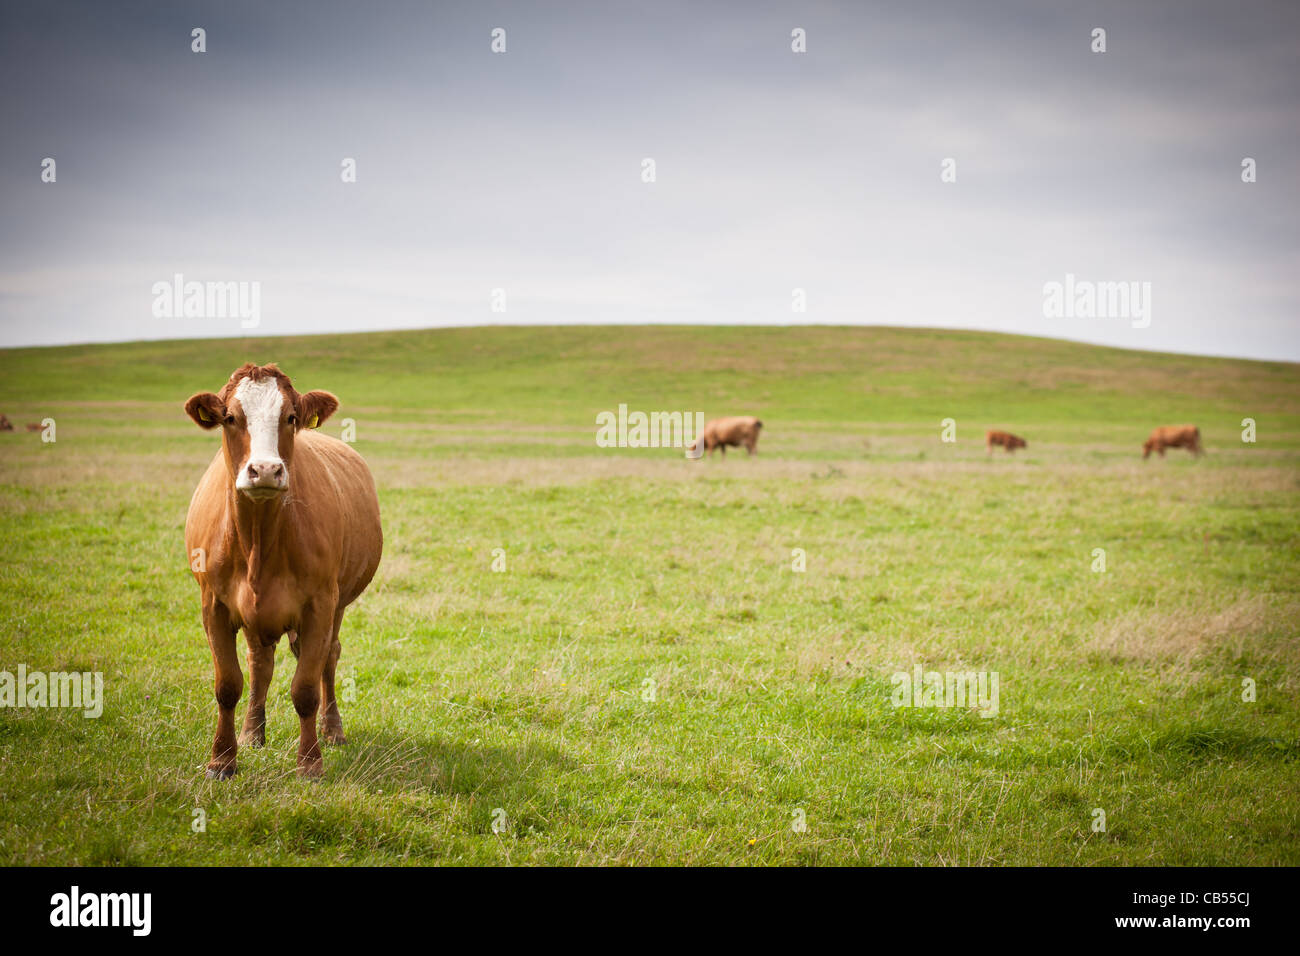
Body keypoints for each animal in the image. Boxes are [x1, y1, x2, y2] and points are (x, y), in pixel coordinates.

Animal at [183, 363, 382, 778]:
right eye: (230, 417)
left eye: (291, 417)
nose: (264, 470)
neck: (259, 541)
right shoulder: (213, 606)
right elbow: (228, 685)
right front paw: (222, 759)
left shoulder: (320, 605)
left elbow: (305, 687)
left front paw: (310, 763)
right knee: (260, 664)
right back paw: (252, 733)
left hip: (339, 604)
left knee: (329, 657)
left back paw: (332, 730)